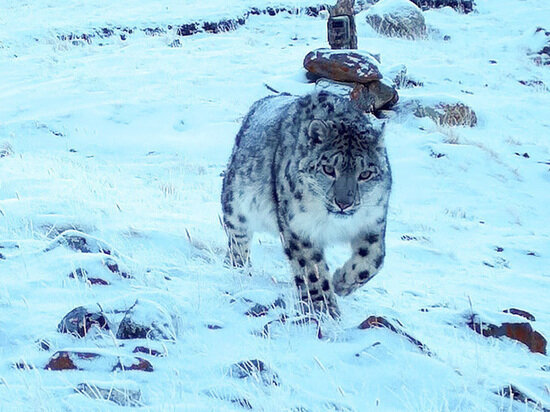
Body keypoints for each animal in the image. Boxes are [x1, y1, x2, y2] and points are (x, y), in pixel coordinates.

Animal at [221, 90, 392, 318]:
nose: (343, 203)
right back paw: (239, 267)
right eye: (328, 169)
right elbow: (312, 270)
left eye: (365, 174)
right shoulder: (299, 227)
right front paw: (325, 309)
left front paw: (342, 282)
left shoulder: (373, 222)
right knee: (237, 238)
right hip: (235, 202)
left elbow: (374, 259)